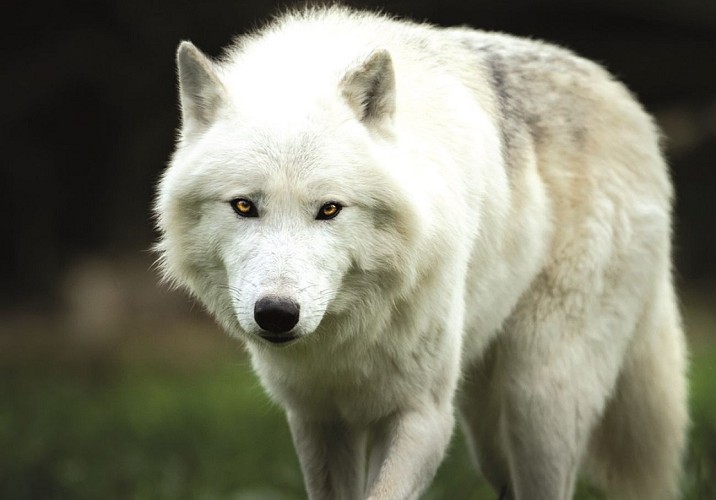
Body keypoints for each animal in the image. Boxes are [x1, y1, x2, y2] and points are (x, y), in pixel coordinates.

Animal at [154, 7, 688, 500]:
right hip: (488, 428)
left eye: (329, 209)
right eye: (244, 205)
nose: (277, 315)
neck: (351, 333)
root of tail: (627, 102)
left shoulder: (424, 415)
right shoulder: (317, 419)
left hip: (538, 402)